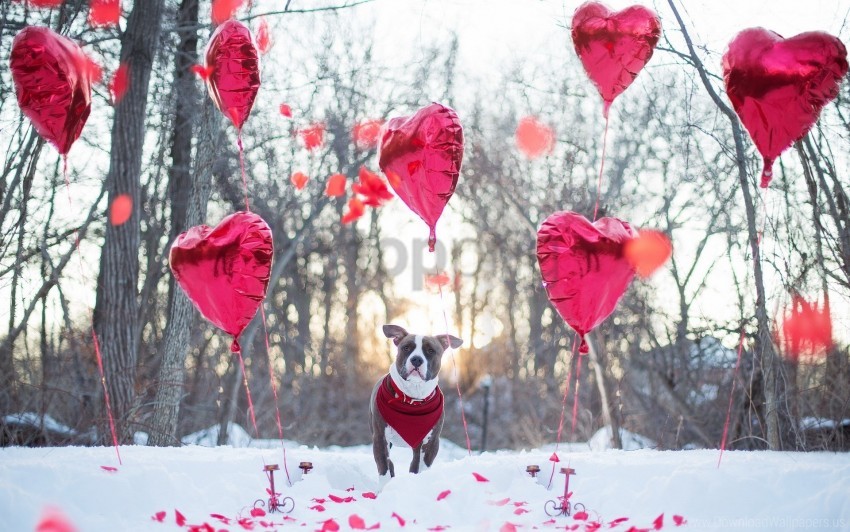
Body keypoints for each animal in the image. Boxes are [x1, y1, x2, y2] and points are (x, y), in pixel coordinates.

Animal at [372, 324, 464, 478]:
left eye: (431, 350)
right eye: (406, 348)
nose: (416, 359)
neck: (413, 398)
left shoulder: (431, 443)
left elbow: (419, 467)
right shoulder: (380, 437)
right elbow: (384, 468)